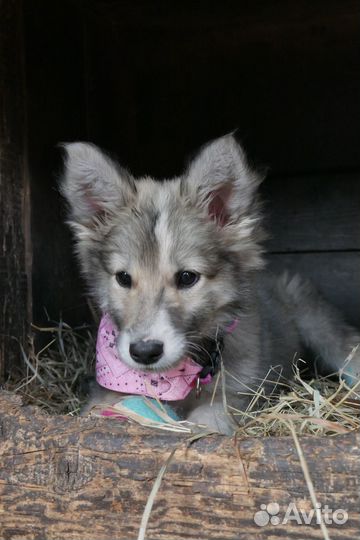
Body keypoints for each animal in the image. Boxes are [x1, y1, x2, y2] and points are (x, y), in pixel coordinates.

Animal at [60, 135, 358, 434]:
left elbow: (205, 422)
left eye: (187, 277)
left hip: (317, 323)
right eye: (123, 278)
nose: (145, 352)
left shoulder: (235, 395)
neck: (175, 376)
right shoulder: (103, 393)